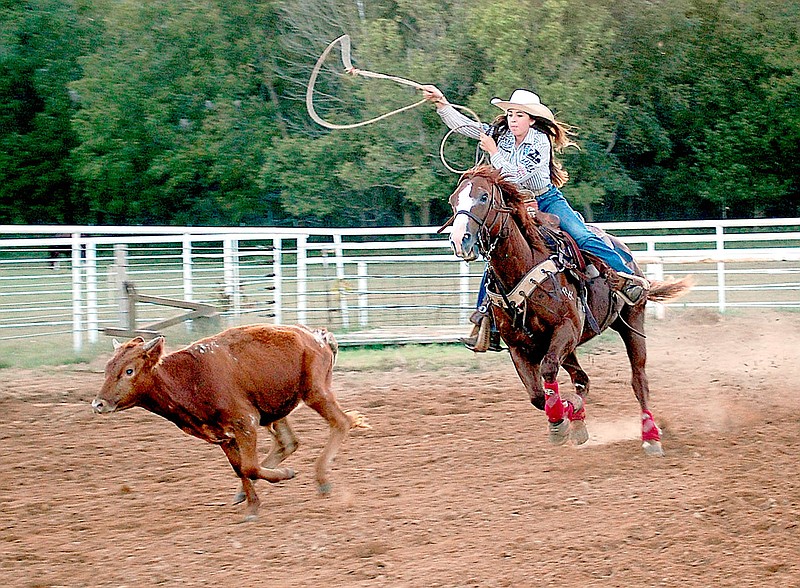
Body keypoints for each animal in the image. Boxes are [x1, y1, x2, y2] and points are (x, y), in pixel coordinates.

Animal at [92, 324, 368, 520]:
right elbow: (240, 468)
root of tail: (318, 336)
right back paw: (242, 493)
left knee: (341, 423)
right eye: (107, 368)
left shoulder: (245, 422)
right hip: (276, 407)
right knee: (288, 442)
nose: (98, 404)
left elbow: (250, 467)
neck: (191, 377)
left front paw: (285, 475)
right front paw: (252, 506)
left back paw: (322, 481)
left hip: (315, 392)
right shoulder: (222, 435)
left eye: (129, 370)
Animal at [446, 165, 692, 454]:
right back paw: (578, 420)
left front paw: (562, 418)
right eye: (453, 201)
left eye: (483, 197)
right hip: (567, 345)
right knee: (581, 378)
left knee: (638, 380)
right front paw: (564, 418)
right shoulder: (519, 347)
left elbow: (548, 372)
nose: (459, 240)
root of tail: (625, 252)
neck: (523, 263)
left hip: (631, 321)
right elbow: (537, 395)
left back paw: (651, 436)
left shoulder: (567, 327)